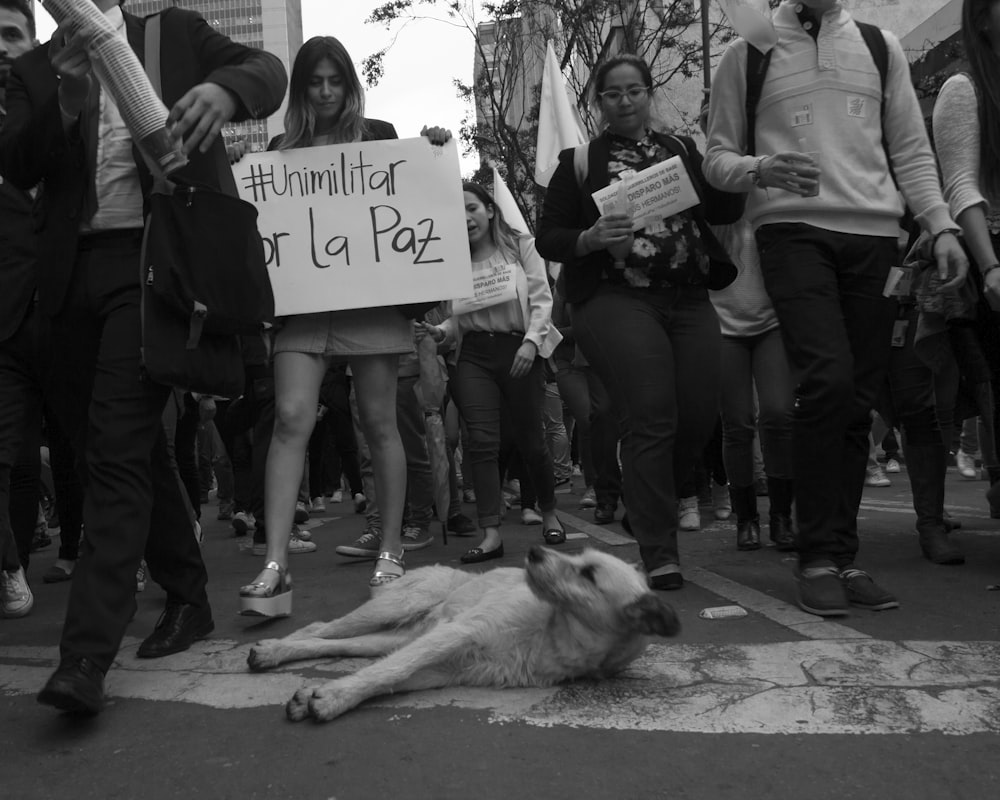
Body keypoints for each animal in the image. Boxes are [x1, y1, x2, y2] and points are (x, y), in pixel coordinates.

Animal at [247, 548, 684, 720]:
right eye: (579, 558)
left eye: (590, 574)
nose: (535, 552)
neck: (554, 632)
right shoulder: (459, 631)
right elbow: (389, 672)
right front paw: (334, 697)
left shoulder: (449, 668)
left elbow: (389, 676)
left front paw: (327, 694)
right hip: (393, 607)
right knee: (320, 628)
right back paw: (272, 648)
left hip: (394, 636)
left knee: (340, 644)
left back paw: (277, 656)